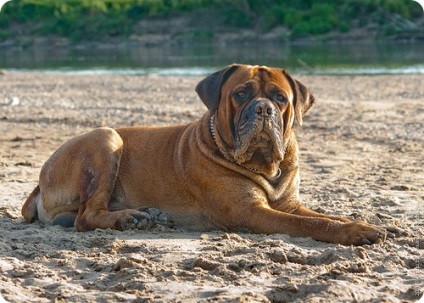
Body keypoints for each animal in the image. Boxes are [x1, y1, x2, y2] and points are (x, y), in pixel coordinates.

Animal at [21, 64, 400, 247]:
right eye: (241, 94)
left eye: (280, 98)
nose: (263, 109)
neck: (266, 166)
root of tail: (39, 183)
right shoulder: (251, 212)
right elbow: (314, 224)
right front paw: (355, 232)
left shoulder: (290, 204)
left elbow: (327, 214)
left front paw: (372, 224)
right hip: (105, 137)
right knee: (88, 215)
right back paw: (129, 219)